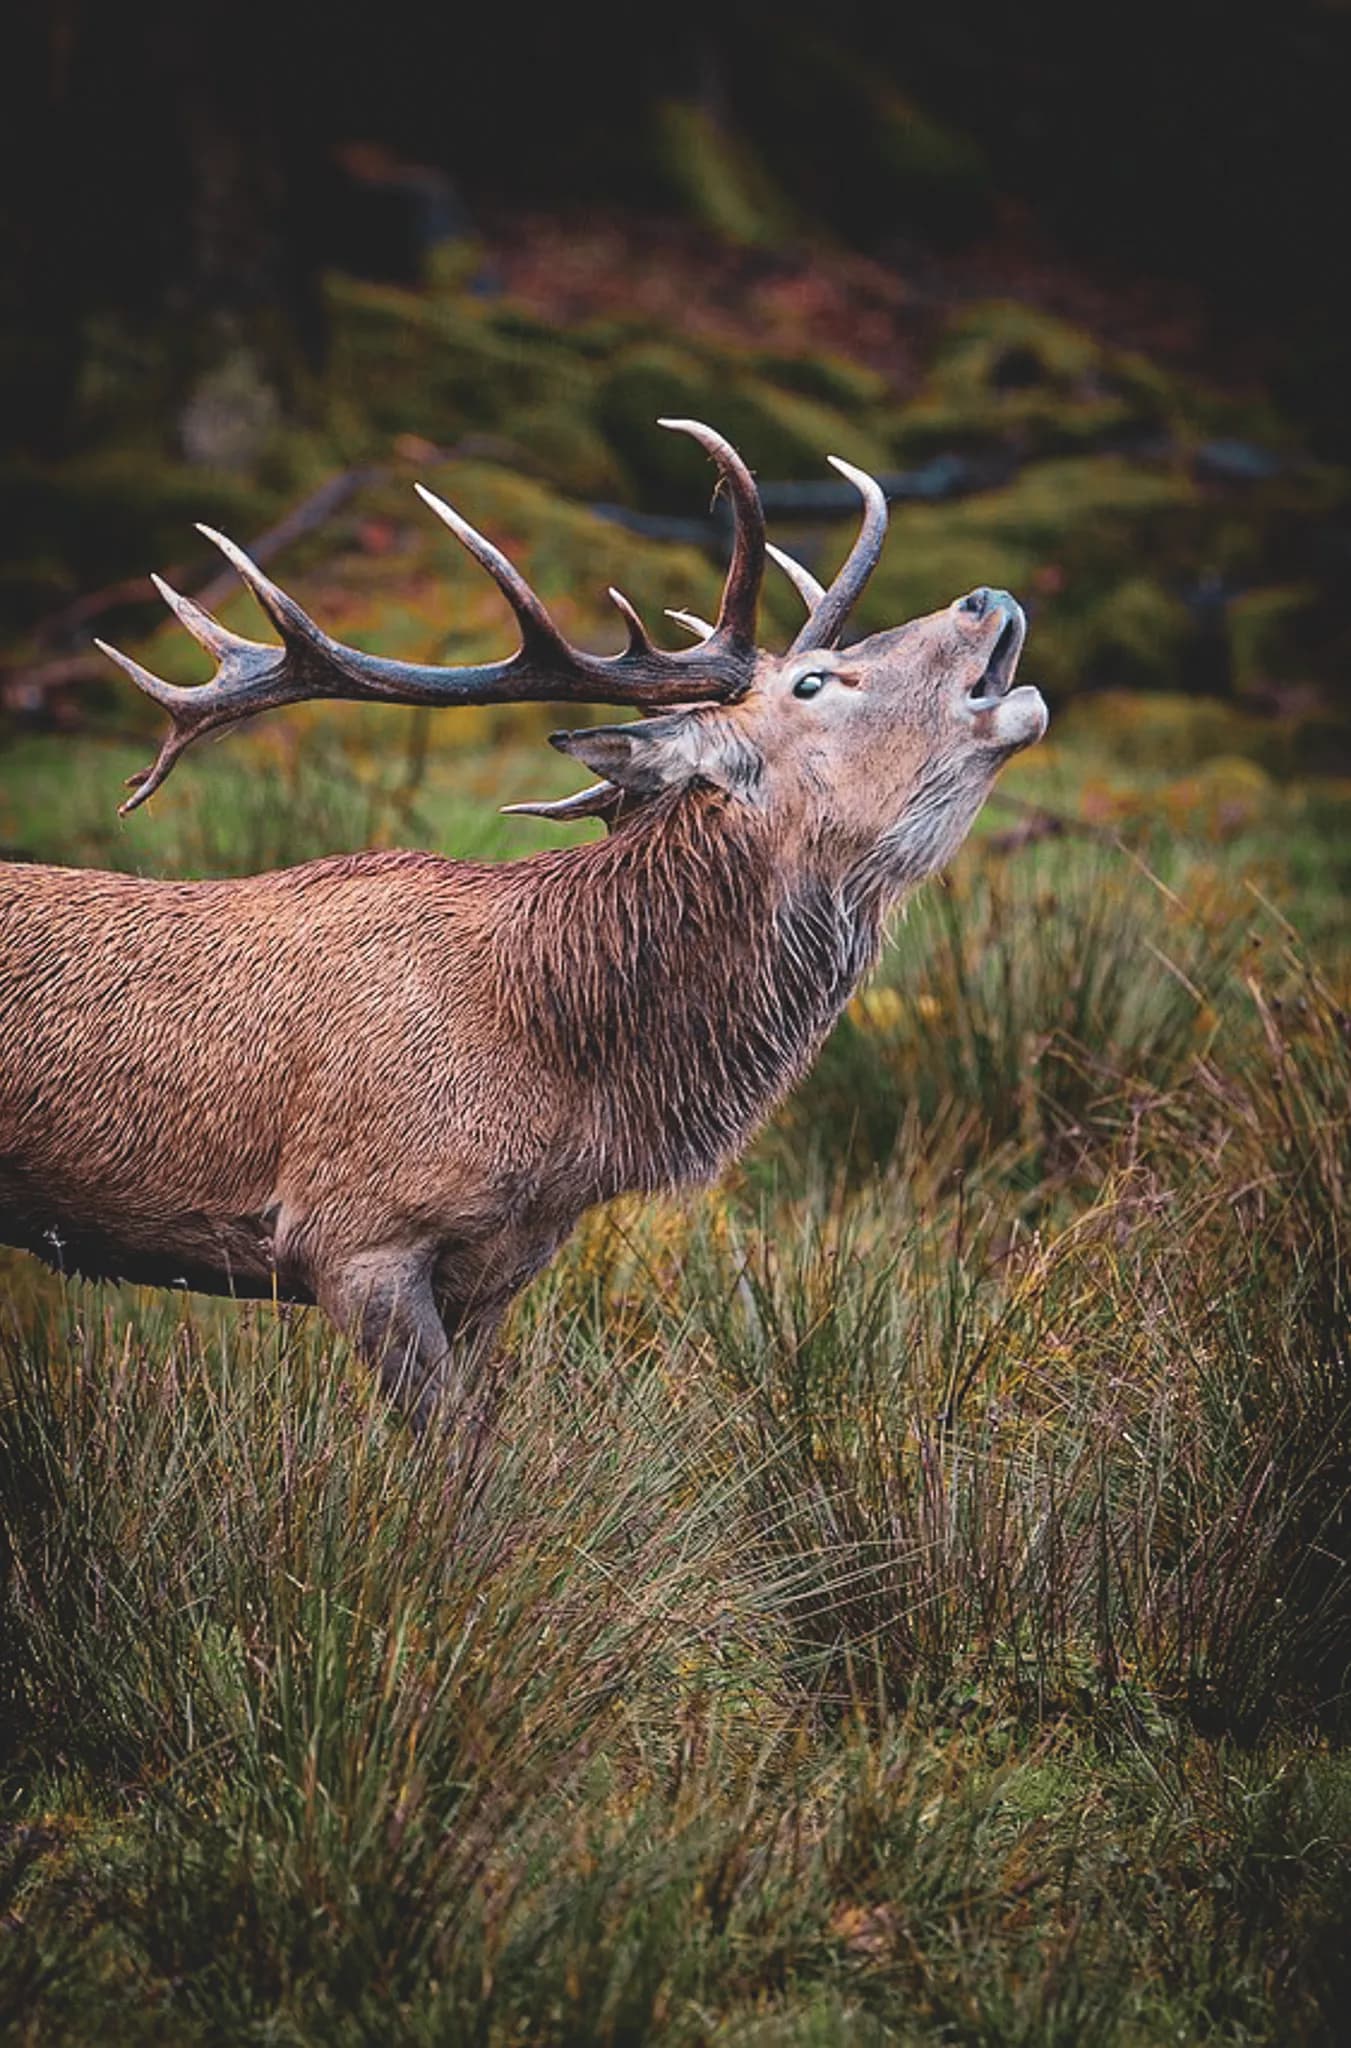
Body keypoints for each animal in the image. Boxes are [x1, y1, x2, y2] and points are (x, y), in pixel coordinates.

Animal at [0, 420, 1047, 1428]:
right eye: (813, 684)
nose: (985, 597)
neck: (561, 1079)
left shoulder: (504, 1265)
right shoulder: (349, 1235)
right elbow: (442, 1453)